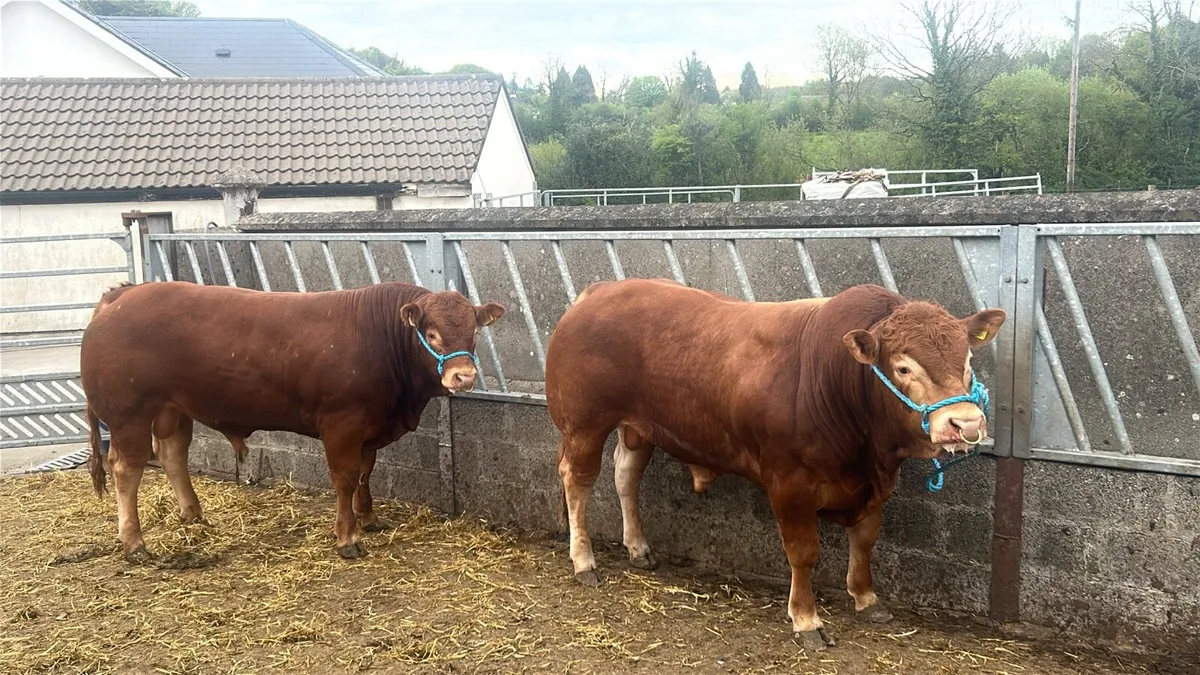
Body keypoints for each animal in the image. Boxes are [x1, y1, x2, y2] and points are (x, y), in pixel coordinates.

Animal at [82, 280, 505, 561]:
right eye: (431, 333)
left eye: (473, 331)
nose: (463, 376)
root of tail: (121, 295)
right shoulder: (342, 423)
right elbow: (345, 478)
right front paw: (347, 537)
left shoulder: (370, 426)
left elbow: (366, 472)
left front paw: (368, 517)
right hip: (129, 414)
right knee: (127, 469)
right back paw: (134, 543)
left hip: (172, 408)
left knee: (172, 454)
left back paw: (194, 515)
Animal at [545, 279, 1005, 652]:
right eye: (904, 366)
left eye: (967, 363)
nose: (966, 423)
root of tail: (599, 291)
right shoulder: (789, 483)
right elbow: (803, 553)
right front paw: (806, 620)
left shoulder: (875, 484)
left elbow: (865, 541)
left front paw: (866, 598)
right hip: (584, 424)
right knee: (578, 482)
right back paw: (584, 561)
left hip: (638, 427)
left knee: (626, 476)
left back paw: (639, 548)